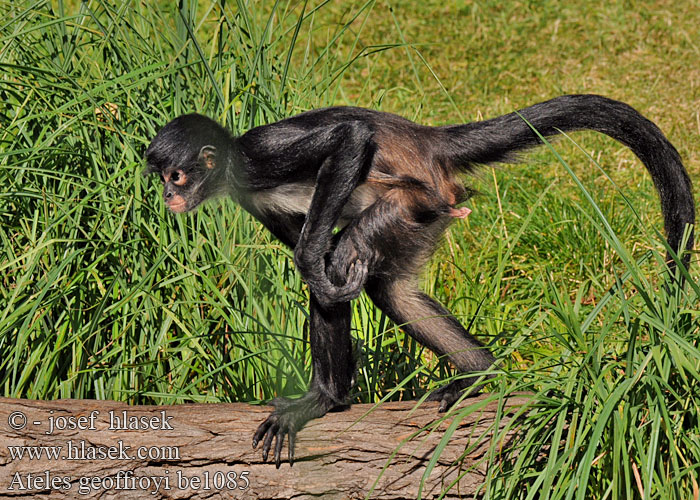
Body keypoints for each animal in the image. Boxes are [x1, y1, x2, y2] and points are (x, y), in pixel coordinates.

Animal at [146, 94, 696, 468]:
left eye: (176, 176)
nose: (168, 197)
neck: (233, 166)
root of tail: (426, 140)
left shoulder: (259, 157)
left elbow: (347, 146)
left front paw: (325, 396)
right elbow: (320, 258)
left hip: (412, 201)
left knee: (342, 259)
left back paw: (326, 396)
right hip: (420, 217)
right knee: (387, 288)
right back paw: (480, 373)